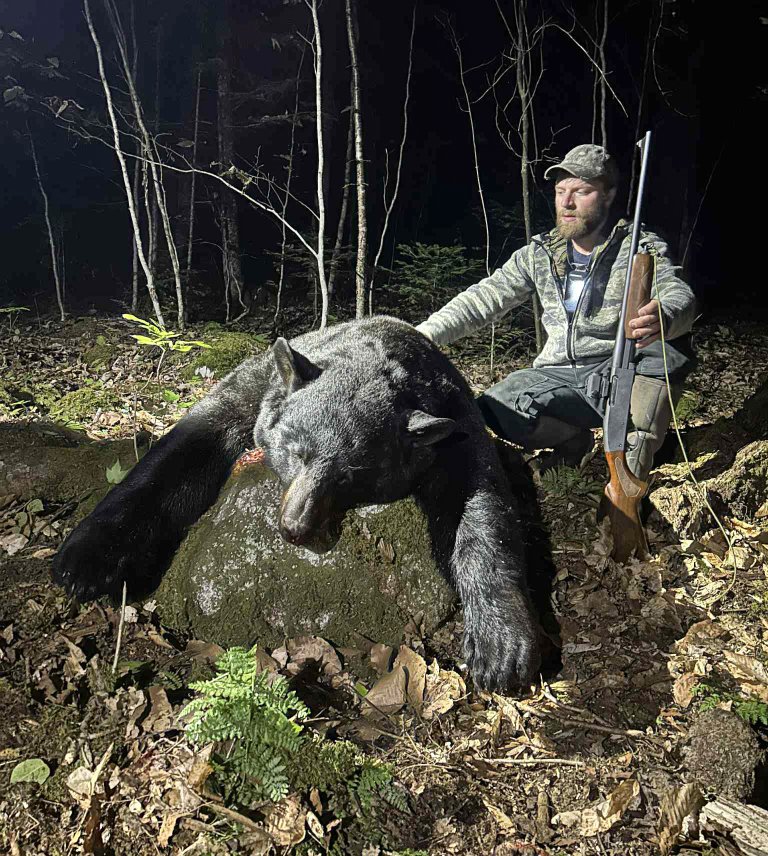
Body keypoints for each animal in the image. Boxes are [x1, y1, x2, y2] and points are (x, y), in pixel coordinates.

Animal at [53, 316, 540, 692]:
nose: (294, 527)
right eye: (296, 451)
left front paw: (501, 642)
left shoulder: (455, 420)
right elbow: (180, 453)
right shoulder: (252, 390)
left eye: (351, 475)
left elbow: (482, 502)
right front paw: (85, 561)